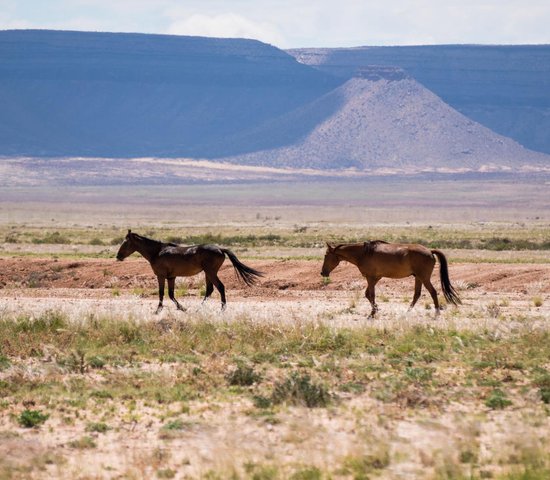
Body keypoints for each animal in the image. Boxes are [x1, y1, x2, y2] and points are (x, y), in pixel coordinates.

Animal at [115, 230, 264, 316]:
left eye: (125, 242)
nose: (118, 256)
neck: (157, 252)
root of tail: (220, 249)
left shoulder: (161, 276)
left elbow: (162, 293)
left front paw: (158, 311)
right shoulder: (171, 277)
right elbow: (171, 294)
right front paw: (182, 308)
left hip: (211, 272)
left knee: (220, 287)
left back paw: (221, 310)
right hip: (207, 273)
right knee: (210, 290)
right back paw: (199, 309)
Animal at [322, 240, 464, 318]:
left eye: (325, 255)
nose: (323, 272)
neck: (363, 253)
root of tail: (430, 251)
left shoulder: (371, 278)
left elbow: (370, 295)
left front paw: (373, 313)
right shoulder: (375, 278)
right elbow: (368, 294)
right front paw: (376, 309)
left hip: (424, 278)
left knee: (433, 292)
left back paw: (437, 313)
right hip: (418, 278)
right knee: (417, 294)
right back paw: (408, 311)